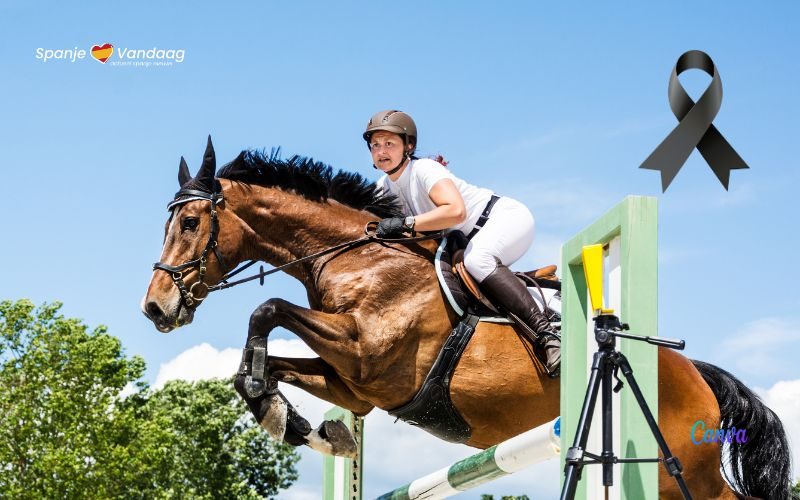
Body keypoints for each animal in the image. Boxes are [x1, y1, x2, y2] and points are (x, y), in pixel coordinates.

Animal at [142, 138, 792, 500]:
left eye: (191, 223)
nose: (155, 307)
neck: (353, 259)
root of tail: (693, 371)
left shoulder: (367, 355)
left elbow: (268, 308)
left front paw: (281, 411)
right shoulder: (355, 388)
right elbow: (265, 364)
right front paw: (301, 425)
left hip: (687, 471)